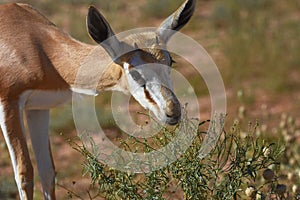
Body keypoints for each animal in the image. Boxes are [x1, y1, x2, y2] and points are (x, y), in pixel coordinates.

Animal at [0, 0, 197, 199]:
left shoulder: (38, 109)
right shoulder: (9, 104)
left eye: (170, 62)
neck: (34, 43)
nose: (172, 110)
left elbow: (47, 172)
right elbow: (24, 173)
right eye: (134, 72)